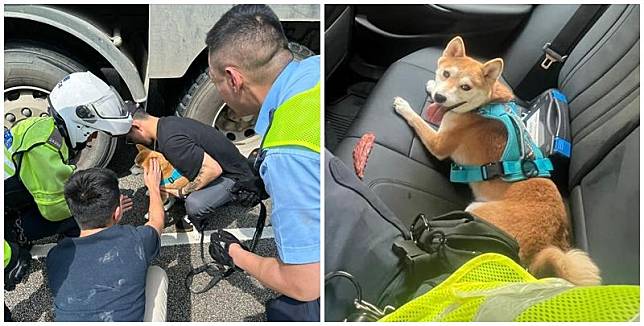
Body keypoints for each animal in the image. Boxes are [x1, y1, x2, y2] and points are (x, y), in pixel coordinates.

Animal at [392, 36, 604, 286]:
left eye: (466, 87)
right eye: (445, 74)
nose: (439, 98)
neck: (483, 106)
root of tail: (543, 248)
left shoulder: (438, 144)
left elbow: (418, 120)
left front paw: (404, 107)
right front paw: (431, 85)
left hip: (475, 210)